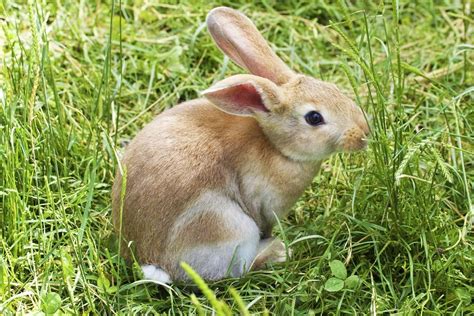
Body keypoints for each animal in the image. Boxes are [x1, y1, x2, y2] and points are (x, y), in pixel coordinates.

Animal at [112, 6, 370, 284]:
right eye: (314, 118)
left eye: (334, 89)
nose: (364, 133)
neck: (275, 147)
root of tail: (150, 260)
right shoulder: (264, 205)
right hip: (228, 226)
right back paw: (277, 252)